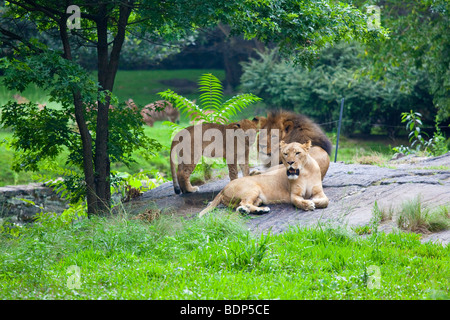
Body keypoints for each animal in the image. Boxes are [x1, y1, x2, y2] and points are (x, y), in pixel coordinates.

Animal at [199, 141, 328, 218]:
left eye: (297, 153)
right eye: (285, 154)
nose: (290, 162)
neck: (305, 172)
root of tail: (223, 188)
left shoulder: (319, 192)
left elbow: (325, 201)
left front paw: (313, 201)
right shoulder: (294, 195)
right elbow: (299, 201)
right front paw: (309, 204)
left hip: (257, 199)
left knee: (241, 206)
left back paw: (249, 211)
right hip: (252, 189)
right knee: (244, 203)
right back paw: (262, 210)